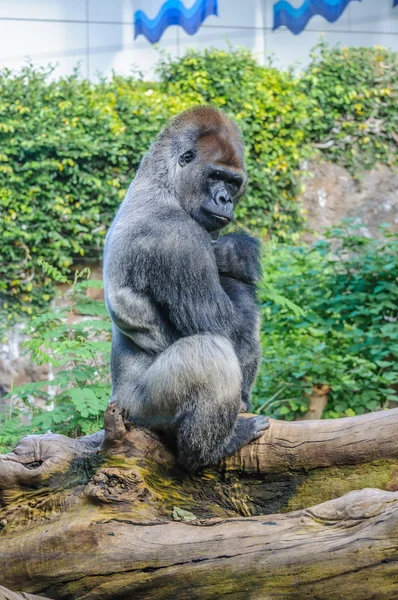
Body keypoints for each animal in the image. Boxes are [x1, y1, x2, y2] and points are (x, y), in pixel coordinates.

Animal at [104, 105, 268, 468]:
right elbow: (223, 328)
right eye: (215, 176)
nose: (225, 199)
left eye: (233, 182)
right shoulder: (179, 240)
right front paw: (237, 252)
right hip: (138, 411)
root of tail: (116, 401)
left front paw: (233, 253)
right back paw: (209, 451)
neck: (161, 184)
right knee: (211, 353)